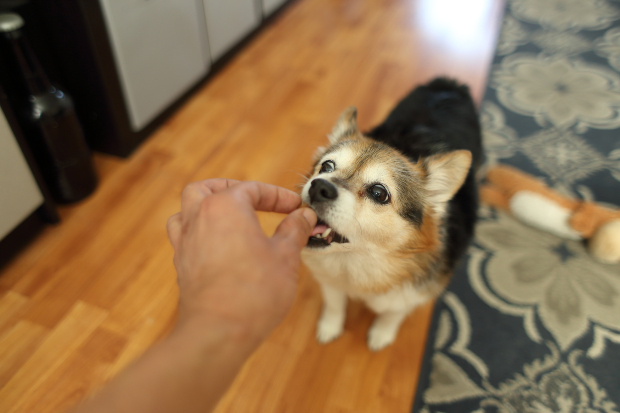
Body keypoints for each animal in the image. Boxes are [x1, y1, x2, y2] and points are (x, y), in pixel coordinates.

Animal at [300, 78, 484, 350]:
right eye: (326, 166)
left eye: (379, 193)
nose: (319, 187)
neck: (360, 263)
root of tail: (449, 84)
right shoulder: (330, 279)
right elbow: (334, 303)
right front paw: (330, 326)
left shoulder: (409, 296)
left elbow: (392, 314)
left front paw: (381, 334)